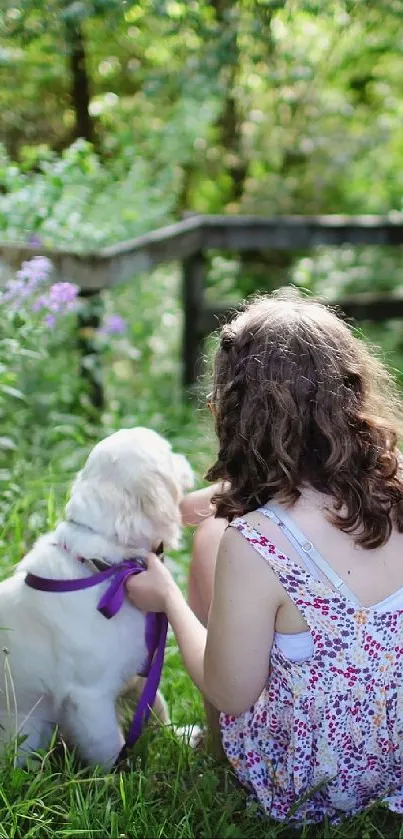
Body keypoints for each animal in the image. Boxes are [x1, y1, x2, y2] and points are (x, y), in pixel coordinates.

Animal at [0, 430, 194, 772]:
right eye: (169, 454)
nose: (187, 459)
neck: (106, 567)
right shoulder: (89, 697)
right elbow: (109, 745)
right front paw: (118, 778)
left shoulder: (139, 668)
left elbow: (156, 706)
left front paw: (180, 737)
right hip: (28, 732)